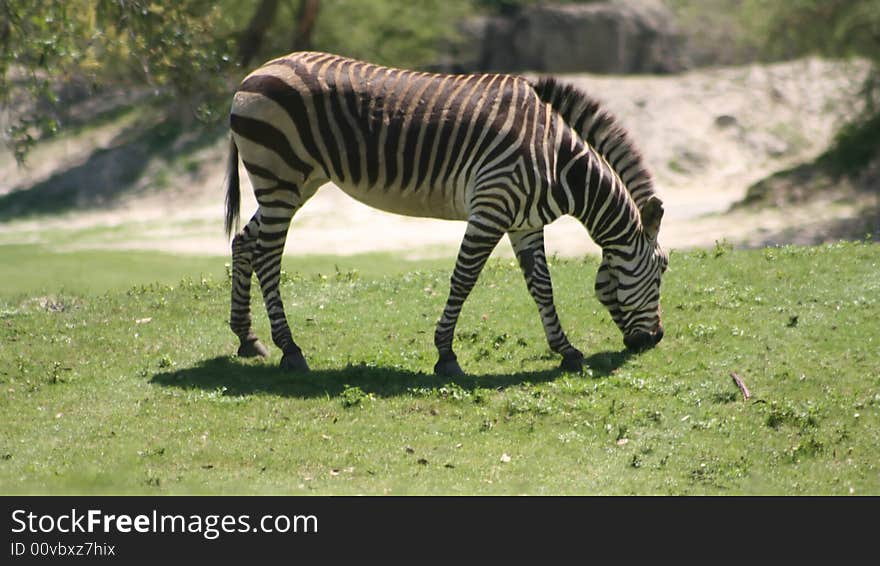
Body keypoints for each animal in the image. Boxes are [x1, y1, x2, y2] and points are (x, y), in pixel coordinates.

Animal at [222, 52, 668, 378]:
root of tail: (254, 74)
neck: (557, 161)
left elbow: (541, 285)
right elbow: (464, 279)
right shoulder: (491, 206)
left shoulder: (524, 222)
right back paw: (290, 349)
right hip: (280, 177)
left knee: (244, 241)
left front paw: (567, 350)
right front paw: (446, 355)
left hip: (296, 183)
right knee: (267, 256)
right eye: (663, 269)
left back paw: (248, 339)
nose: (657, 339)